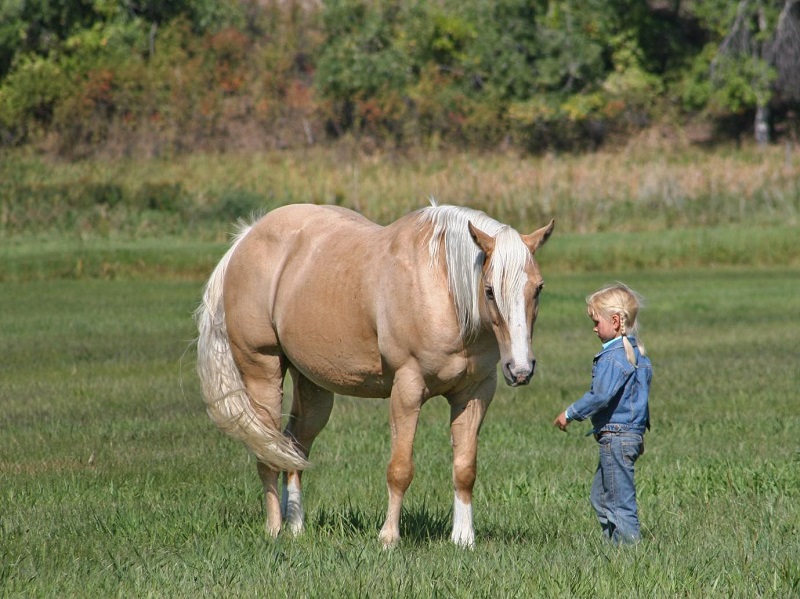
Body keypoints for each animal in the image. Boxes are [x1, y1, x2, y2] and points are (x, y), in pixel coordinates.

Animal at [195, 202, 554, 548]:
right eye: (490, 290)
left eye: (538, 288)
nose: (520, 369)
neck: (444, 291)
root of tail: (248, 235)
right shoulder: (407, 389)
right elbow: (400, 469)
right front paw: (389, 538)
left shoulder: (475, 392)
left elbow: (465, 469)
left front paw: (464, 539)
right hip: (263, 372)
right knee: (268, 450)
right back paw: (274, 529)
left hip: (312, 386)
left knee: (294, 446)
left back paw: (296, 526)